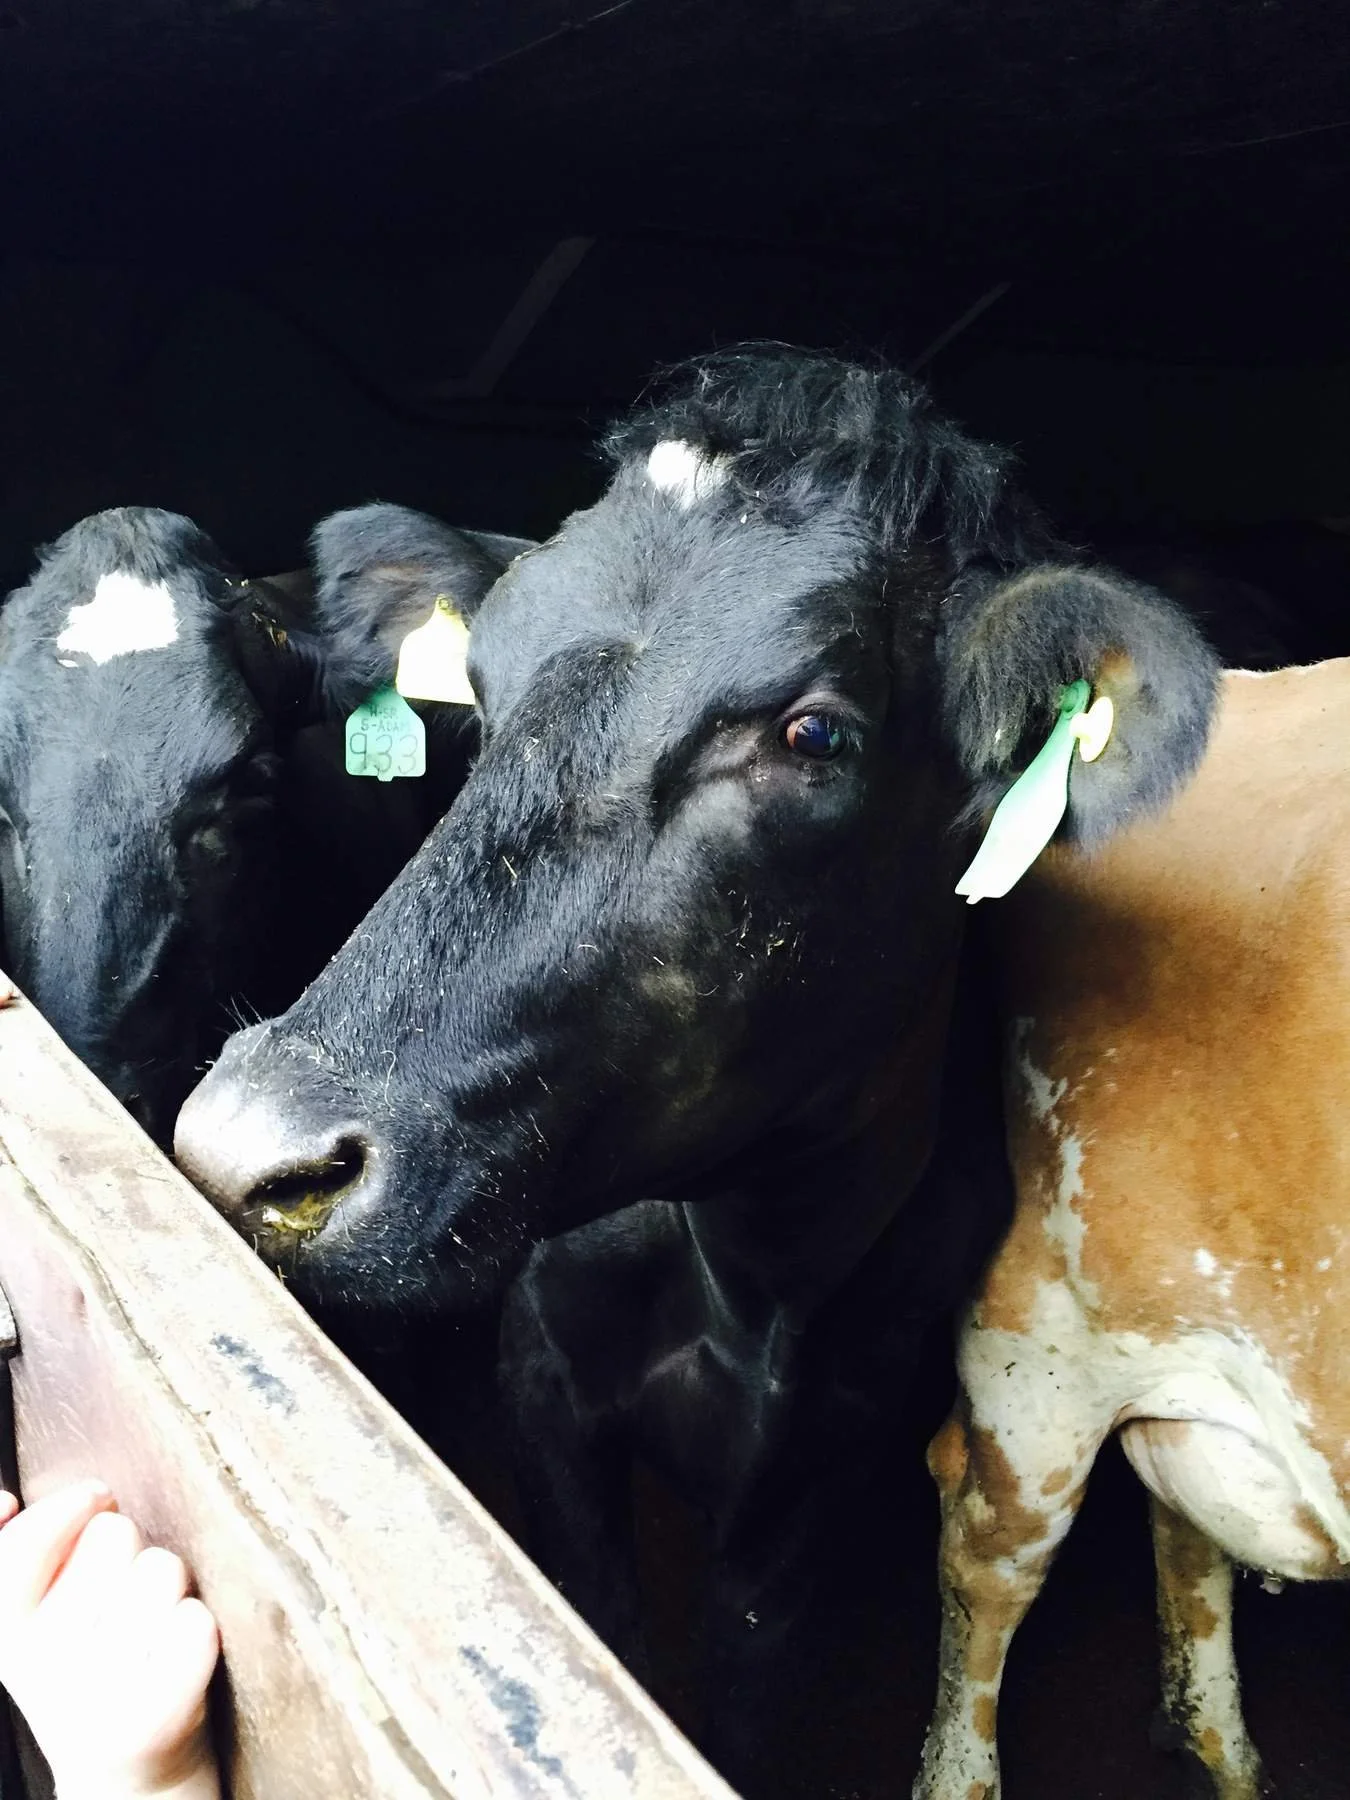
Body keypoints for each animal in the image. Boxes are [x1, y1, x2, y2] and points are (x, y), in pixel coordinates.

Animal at [172, 347, 1219, 1785]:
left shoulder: (829, 1459)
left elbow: (744, 1680)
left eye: (813, 736)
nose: (250, 1138)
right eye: (477, 694)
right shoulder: (546, 1386)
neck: (748, 1267)